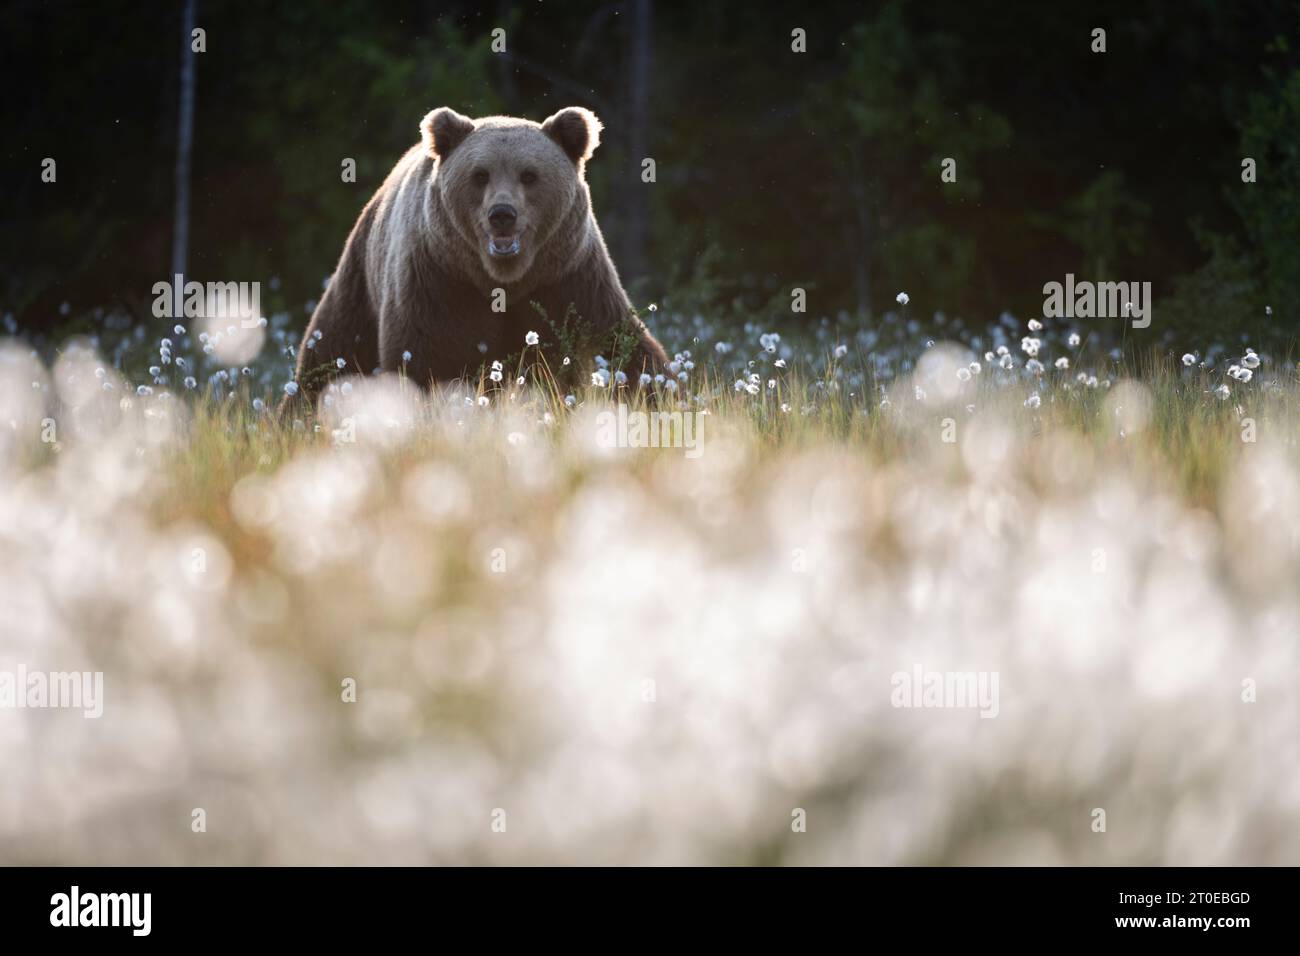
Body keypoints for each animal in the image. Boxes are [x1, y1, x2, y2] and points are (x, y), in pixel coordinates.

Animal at [288, 106, 665, 405]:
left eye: (529, 175)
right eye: (480, 174)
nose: (502, 214)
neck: (504, 279)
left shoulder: (567, 278)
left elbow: (618, 345)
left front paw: (657, 397)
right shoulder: (440, 279)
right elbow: (427, 359)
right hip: (360, 282)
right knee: (330, 352)